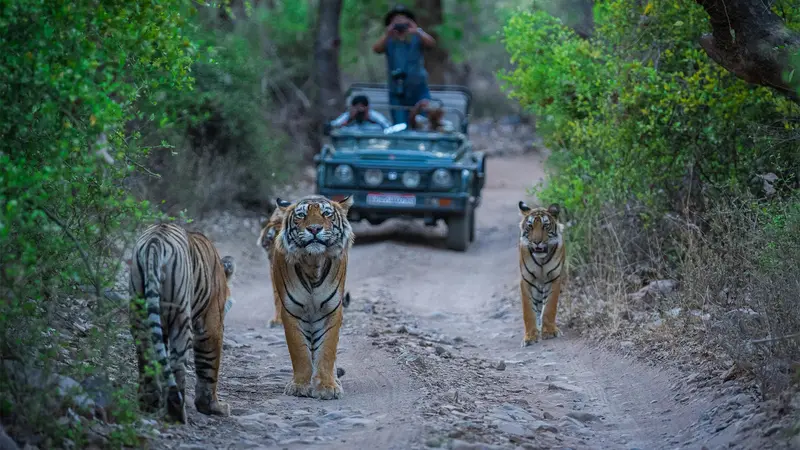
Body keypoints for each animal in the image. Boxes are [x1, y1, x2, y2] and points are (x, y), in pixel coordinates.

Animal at [129, 223, 235, 423]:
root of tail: (155, 241)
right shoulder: (211, 325)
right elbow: (209, 366)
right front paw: (213, 407)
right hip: (180, 318)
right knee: (177, 365)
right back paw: (176, 412)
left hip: (139, 311)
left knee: (147, 356)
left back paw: (149, 403)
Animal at [270, 194, 354, 399]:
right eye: (301, 215)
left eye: (326, 214)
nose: (314, 229)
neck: (313, 263)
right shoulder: (291, 311)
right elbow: (299, 350)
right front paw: (300, 385)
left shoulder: (332, 310)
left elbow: (327, 350)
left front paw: (327, 386)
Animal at [517, 201, 567, 347]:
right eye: (530, 226)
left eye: (545, 226)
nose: (537, 242)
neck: (541, 260)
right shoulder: (526, 281)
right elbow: (528, 311)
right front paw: (529, 337)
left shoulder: (554, 278)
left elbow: (550, 307)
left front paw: (549, 332)